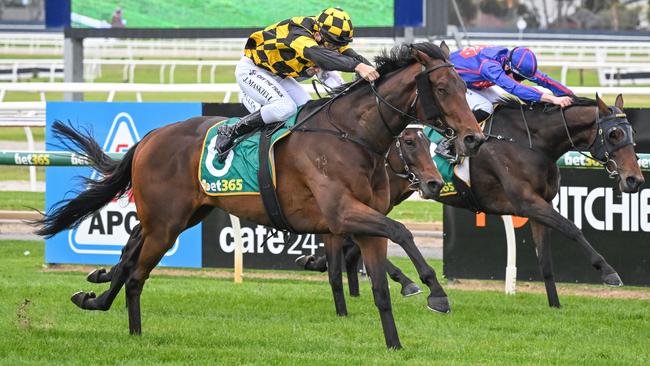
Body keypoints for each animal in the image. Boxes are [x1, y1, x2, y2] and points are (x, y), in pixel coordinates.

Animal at [34, 43, 480, 348]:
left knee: (129, 257)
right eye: (442, 87)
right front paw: (436, 293)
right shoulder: (342, 214)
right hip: (165, 224)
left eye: (464, 85)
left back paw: (95, 297)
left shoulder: (363, 222)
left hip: (178, 217)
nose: (472, 138)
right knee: (136, 274)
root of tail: (149, 138)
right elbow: (402, 231)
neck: (350, 136)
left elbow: (380, 288)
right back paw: (131, 329)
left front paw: (395, 343)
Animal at [312, 94, 640, 312]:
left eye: (632, 134)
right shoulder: (527, 202)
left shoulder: (540, 204)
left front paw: (555, 305)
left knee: (355, 238)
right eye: (613, 133)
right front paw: (608, 272)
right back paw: (403, 281)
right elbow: (572, 228)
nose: (635, 179)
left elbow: (545, 259)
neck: (529, 141)